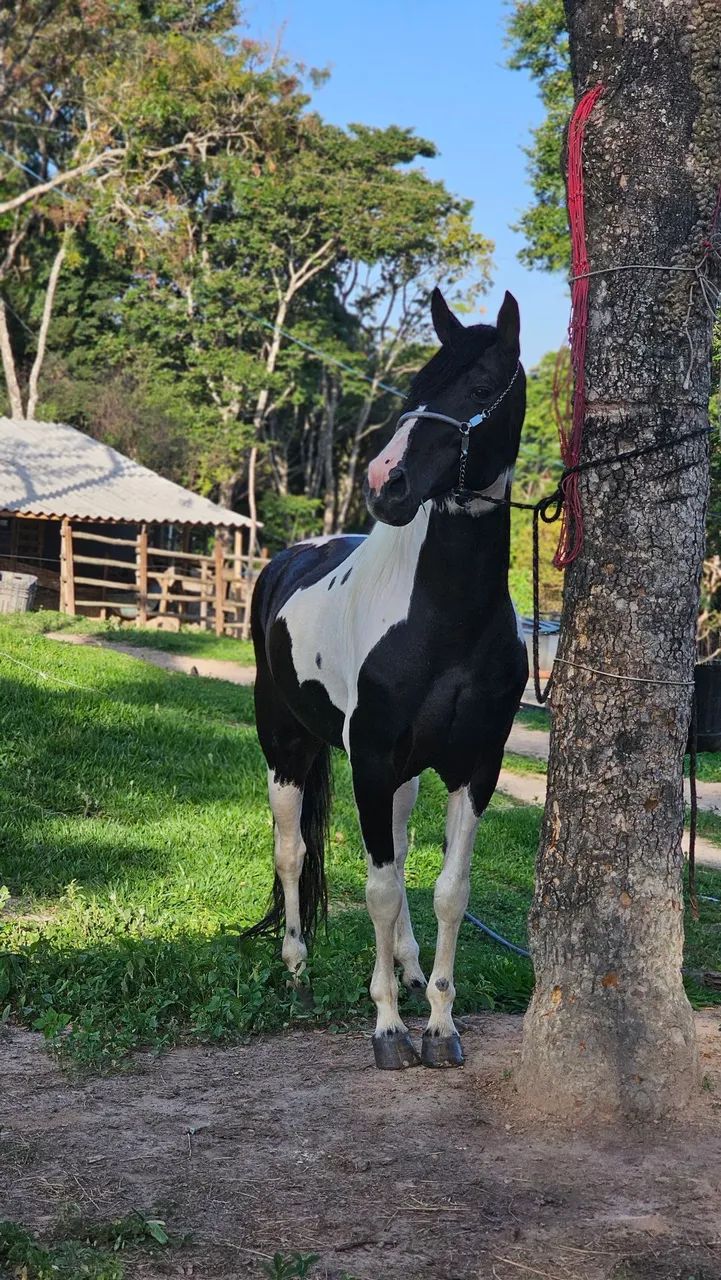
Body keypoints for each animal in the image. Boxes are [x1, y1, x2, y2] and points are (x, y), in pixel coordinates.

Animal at [246, 287, 528, 1070]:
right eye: (415, 388)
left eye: (481, 388)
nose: (385, 482)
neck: (444, 618)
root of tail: (287, 560)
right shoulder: (369, 760)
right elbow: (373, 887)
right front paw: (386, 1028)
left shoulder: (473, 766)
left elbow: (445, 890)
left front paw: (438, 1024)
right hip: (287, 750)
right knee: (292, 853)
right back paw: (297, 971)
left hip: (404, 774)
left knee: (399, 862)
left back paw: (406, 970)